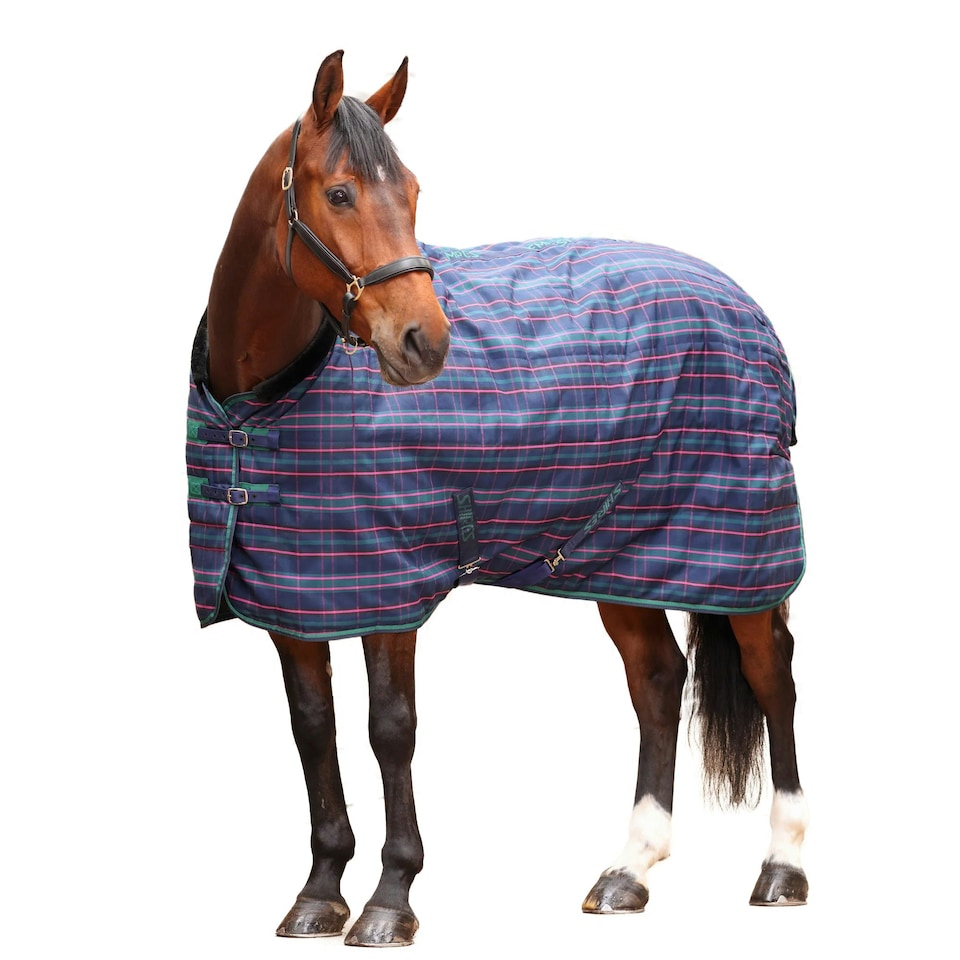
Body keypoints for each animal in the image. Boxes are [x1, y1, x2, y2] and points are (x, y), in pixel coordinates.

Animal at [187, 50, 809, 947]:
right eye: (338, 193)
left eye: (413, 191)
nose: (425, 343)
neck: (262, 405)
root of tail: (743, 305)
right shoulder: (294, 595)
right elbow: (313, 729)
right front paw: (318, 893)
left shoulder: (390, 589)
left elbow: (389, 729)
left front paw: (389, 900)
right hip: (619, 556)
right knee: (659, 680)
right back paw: (627, 871)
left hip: (740, 549)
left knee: (772, 677)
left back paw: (783, 868)